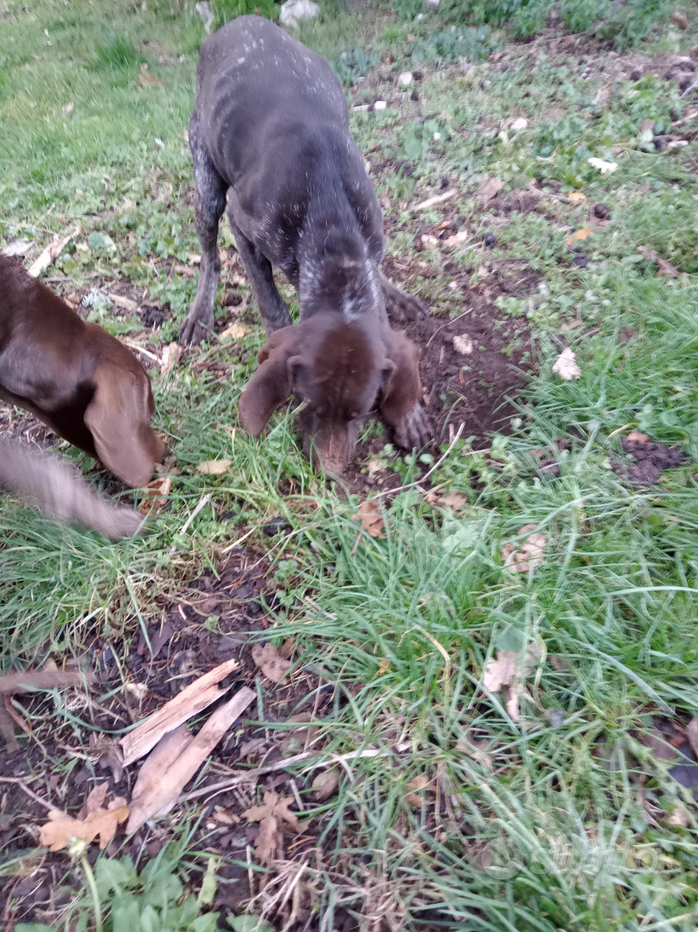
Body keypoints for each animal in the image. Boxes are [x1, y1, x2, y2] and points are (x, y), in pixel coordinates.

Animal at [178, 16, 430, 474]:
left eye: (362, 412)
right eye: (305, 403)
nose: (328, 472)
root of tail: (237, 23)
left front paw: (410, 414)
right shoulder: (243, 224)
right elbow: (271, 304)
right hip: (207, 185)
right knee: (209, 255)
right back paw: (199, 314)